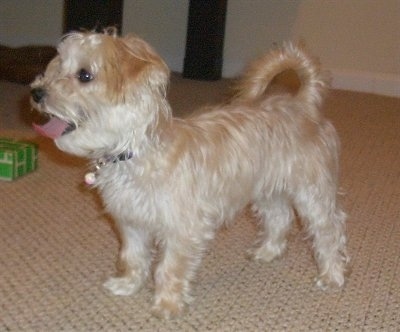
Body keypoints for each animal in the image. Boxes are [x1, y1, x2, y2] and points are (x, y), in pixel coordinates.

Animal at [31, 28, 348, 320]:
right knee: (280, 217)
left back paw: (332, 276)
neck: (135, 153)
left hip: (312, 193)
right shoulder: (131, 222)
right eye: (57, 67)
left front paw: (167, 306)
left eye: (85, 75)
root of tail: (303, 103)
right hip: (266, 190)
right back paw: (267, 251)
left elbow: (168, 269)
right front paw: (128, 285)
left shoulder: (182, 229)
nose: (36, 92)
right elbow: (132, 257)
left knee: (328, 232)